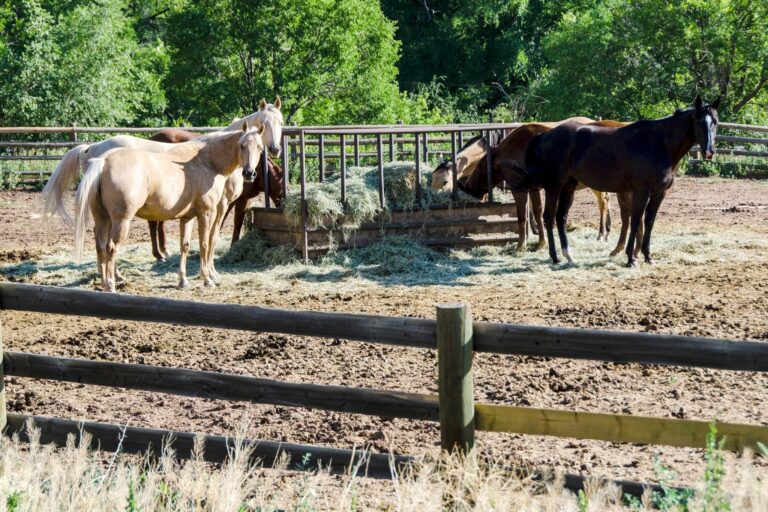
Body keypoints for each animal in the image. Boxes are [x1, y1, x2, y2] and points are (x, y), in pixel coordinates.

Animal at [73, 125, 264, 292]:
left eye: (260, 148)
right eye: (242, 146)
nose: (249, 173)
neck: (206, 161)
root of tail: (104, 161)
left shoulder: (187, 217)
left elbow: (184, 245)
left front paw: (183, 280)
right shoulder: (206, 213)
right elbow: (204, 243)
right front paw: (207, 279)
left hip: (103, 218)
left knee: (100, 246)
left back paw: (104, 283)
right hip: (121, 221)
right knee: (111, 248)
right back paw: (112, 285)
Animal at [520, 95, 724, 268]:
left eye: (715, 122)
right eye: (698, 121)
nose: (709, 152)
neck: (658, 143)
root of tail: (545, 135)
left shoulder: (659, 193)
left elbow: (649, 221)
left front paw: (648, 257)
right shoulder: (641, 191)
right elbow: (635, 220)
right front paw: (631, 258)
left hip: (568, 186)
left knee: (561, 217)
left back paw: (569, 256)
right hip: (554, 185)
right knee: (548, 217)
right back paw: (555, 257)